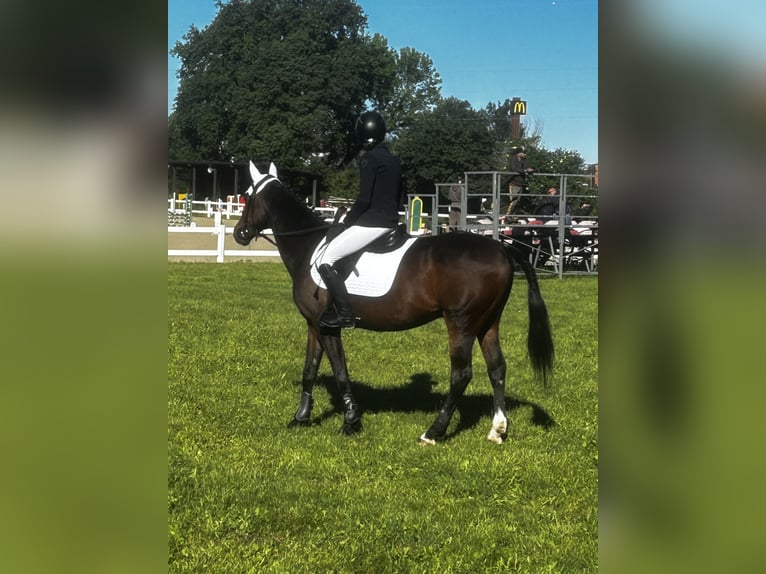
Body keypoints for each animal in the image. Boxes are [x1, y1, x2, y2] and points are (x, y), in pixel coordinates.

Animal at [233, 161, 554, 445]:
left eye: (247, 195)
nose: (239, 233)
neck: (310, 247)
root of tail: (501, 247)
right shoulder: (314, 324)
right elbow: (309, 370)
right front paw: (300, 418)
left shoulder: (328, 327)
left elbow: (340, 372)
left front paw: (351, 421)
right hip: (487, 323)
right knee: (497, 368)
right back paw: (497, 431)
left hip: (461, 324)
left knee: (461, 375)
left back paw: (433, 432)